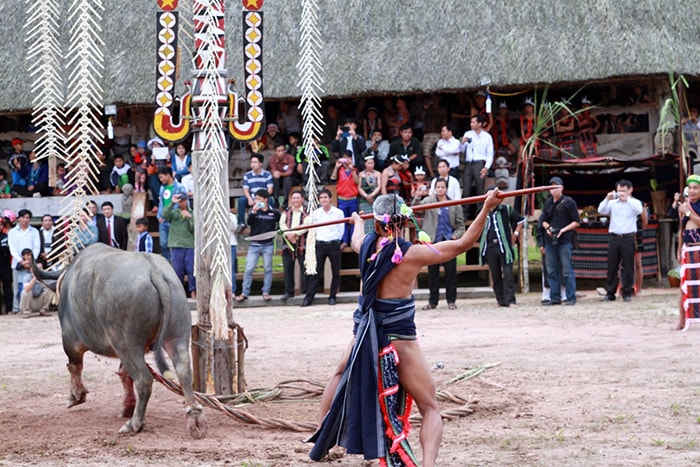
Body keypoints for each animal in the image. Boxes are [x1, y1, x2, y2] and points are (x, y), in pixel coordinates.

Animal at [32, 245, 206, 438]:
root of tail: (154, 272)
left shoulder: (70, 340)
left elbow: (74, 366)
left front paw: (75, 396)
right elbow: (124, 375)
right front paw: (127, 407)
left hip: (125, 344)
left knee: (144, 379)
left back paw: (134, 424)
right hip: (176, 336)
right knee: (184, 371)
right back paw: (193, 418)